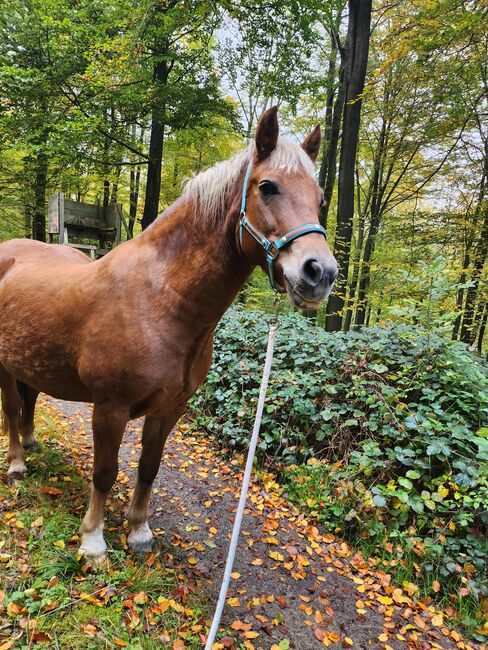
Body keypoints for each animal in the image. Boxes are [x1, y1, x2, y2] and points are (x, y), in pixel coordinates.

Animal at [0, 107, 336, 556]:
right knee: (10, 407)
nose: (320, 273)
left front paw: (139, 530)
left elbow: (148, 467)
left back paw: (30, 443)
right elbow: (105, 472)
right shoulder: (109, 408)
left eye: (319, 199)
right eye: (267, 187)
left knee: (30, 399)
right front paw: (93, 540)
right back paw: (17, 463)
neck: (159, 302)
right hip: (4, 366)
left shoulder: (169, 409)